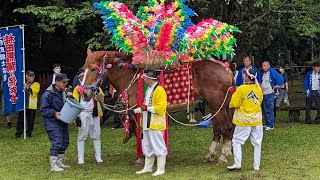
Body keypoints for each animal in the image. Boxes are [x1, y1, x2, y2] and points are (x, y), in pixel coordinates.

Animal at [80, 48, 235, 164]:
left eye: (93, 69)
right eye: (83, 69)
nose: (85, 93)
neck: (129, 76)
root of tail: (226, 69)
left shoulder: (138, 111)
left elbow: (139, 132)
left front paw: (142, 157)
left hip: (217, 105)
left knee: (225, 128)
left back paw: (223, 156)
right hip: (218, 107)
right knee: (218, 129)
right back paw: (211, 154)